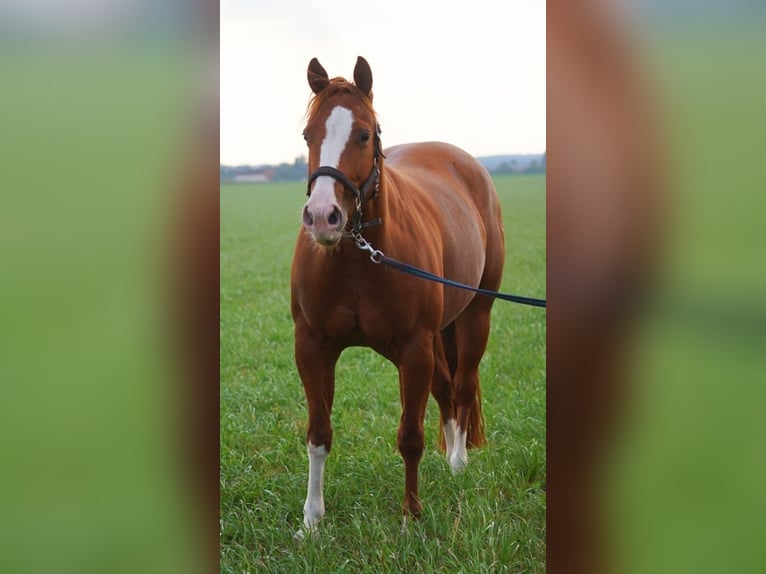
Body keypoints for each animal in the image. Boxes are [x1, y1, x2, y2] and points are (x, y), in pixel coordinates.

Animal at [292, 57, 508, 536]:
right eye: (308, 135)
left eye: (364, 134)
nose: (323, 217)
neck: (358, 257)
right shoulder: (313, 346)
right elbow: (318, 435)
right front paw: (312, 518)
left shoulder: (414, 348)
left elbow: (410, 437)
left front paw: (411, 515)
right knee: (446, 389)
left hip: (475, 316)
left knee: (462, 386)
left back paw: (458, 462)